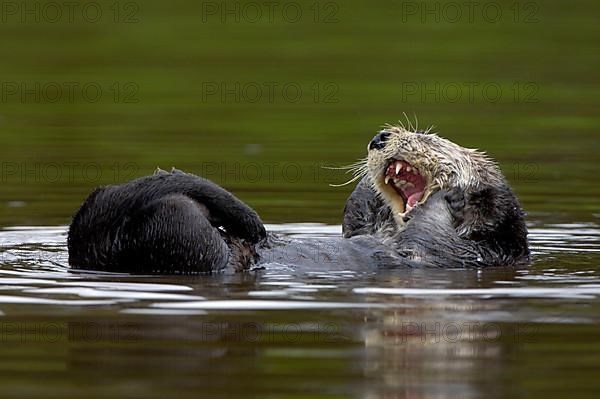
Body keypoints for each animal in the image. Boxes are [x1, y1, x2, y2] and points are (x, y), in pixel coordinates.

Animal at [68, 126, 528, 274]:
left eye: (427, 137)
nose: (382, 136)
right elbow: (356, 219)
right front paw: (366, 189)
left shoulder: (459, 253)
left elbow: (434, 230)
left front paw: (453, 192)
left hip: (184, 239)